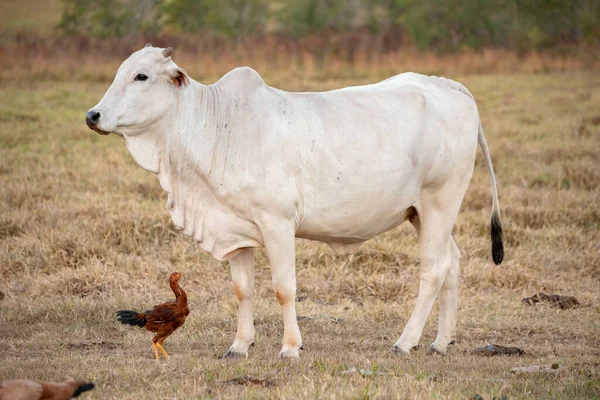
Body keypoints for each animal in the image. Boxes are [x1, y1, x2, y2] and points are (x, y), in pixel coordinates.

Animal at [86, 44, 504, 360]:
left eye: (141, 76)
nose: (93, 115)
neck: (216, 127)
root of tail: (448, 85)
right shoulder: (235, 232)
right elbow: (243, 290)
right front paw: (239, 346)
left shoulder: (278, 224)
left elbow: (283, 288)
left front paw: (290, 347)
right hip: (422, 213)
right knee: (452, 262)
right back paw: (441, 341)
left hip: (440, 202)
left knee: (433, 270)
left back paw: (406, 341)